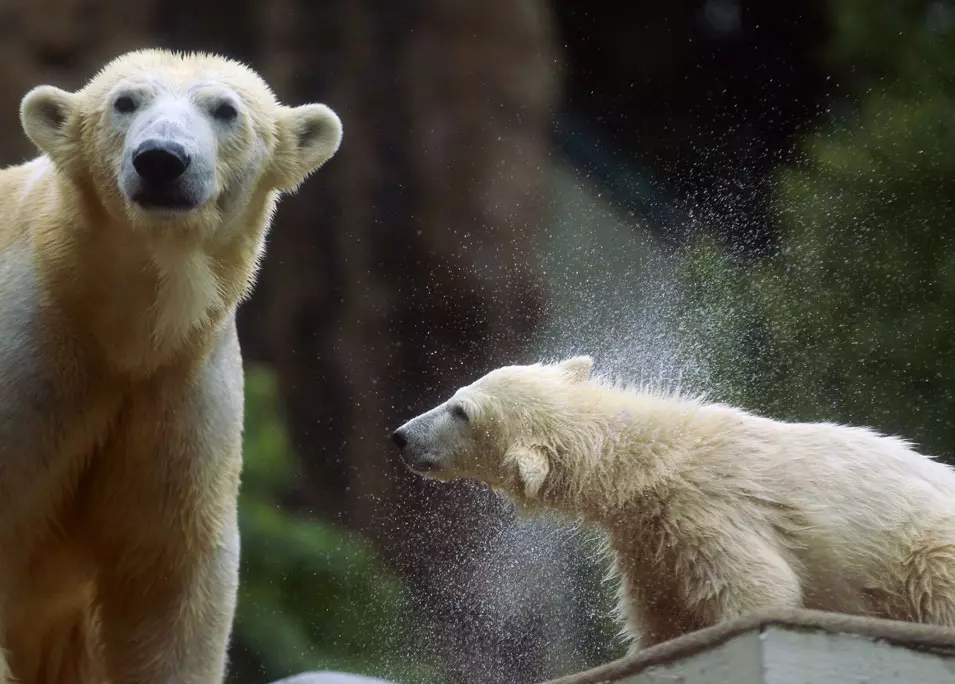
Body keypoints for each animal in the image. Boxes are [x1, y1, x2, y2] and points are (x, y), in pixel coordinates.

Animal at [0, 49, 344, 684]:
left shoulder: (180, 387)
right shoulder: (32, 355)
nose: (161, 159)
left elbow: (169, 570)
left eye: (225, 109)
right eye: (125, 101)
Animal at [390, 358, 955, 652]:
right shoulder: (648, 540)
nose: (400, 436)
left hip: (924, 550)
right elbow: (662, 619)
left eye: (461, 411)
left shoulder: (705, 513)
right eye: (456, 394)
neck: (648, 455)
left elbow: (759, 589)